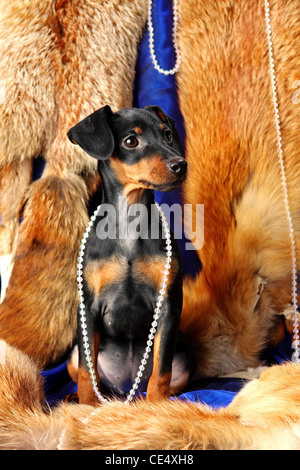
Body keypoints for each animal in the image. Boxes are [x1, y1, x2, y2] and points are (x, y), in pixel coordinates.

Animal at [67, 105, 191, 404]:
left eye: (168, 135)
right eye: (131, 141)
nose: (180, 164)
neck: (130, 223)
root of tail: (126, 388)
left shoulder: (168, 307)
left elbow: (162, 369)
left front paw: (157, 407)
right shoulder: (88, 308)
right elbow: (87, 371)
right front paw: (86, 405)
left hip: (184, 362)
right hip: (73, 353)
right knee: (87, 372)